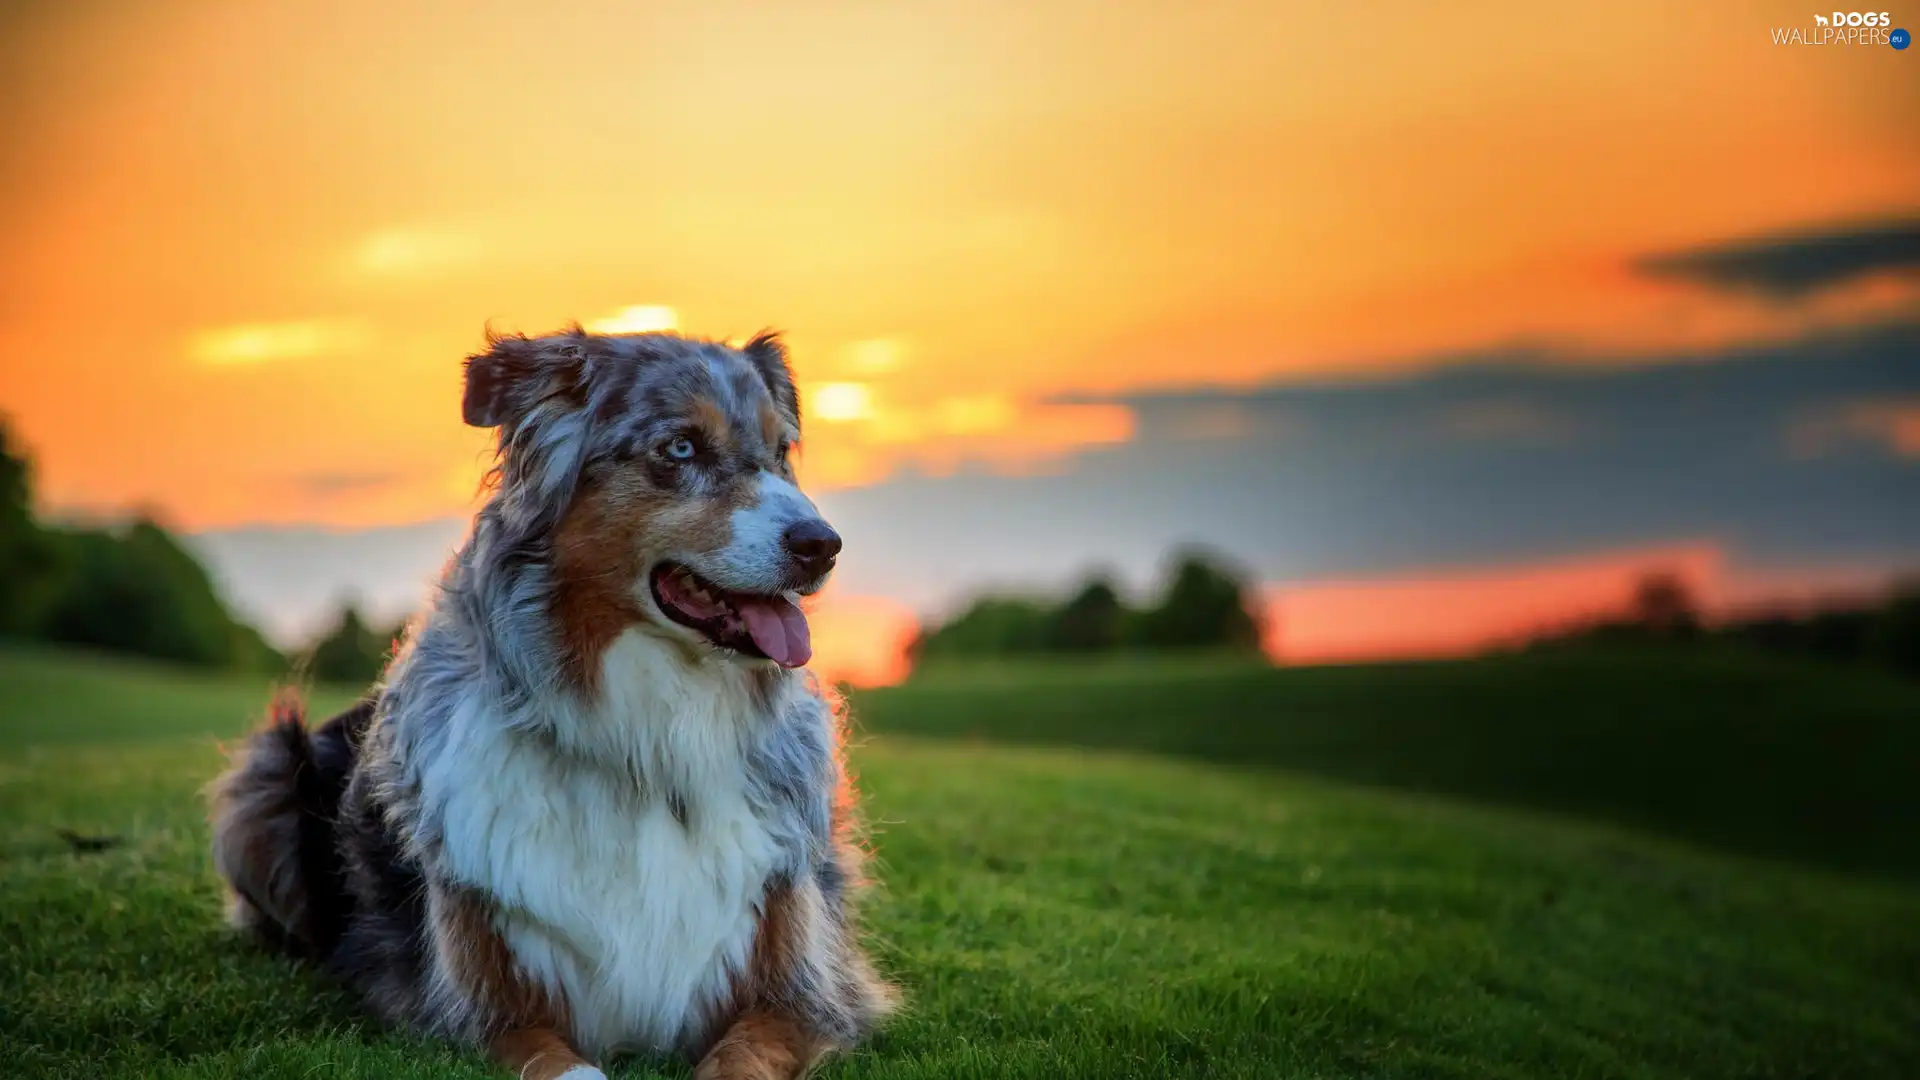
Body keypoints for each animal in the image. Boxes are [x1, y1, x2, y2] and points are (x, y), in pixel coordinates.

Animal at [206, 328, 894, 1076]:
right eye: (680, 448)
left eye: (780, 453)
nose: (822, 545)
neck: (649, 744)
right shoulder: (483, 1007)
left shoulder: (800, 991)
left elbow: (740, 1056)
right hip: (266, 779)